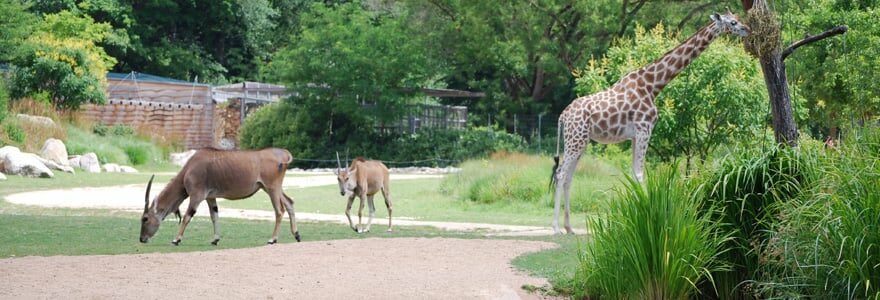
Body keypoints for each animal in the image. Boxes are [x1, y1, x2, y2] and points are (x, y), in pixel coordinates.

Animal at [139, 146, 300, 245]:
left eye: (145, 218)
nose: (141, 239)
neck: (189, 168)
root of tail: (284, 154)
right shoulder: (210, 197)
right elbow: (214, 216)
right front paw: (215, 239)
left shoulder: (197, 196)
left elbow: (186, 217)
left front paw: (176, 239)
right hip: (272, 189)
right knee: (289, 203)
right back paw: (296, 235)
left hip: (272, 188)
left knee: (279, 211)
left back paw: (272, 239)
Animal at [552, 11, 748, 234]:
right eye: (733, 22)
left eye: (737, 18)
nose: (747, 29)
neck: (653, 86)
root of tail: (563, 115)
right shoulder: (644, 128)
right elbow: (639, 174)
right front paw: (648, 218)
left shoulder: (635, 134)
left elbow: (634, 173)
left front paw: (635, 219)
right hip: (575, 140)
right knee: (560, 174)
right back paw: (556, 228)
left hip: (580, 141)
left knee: (568, 177)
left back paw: (569, 228)